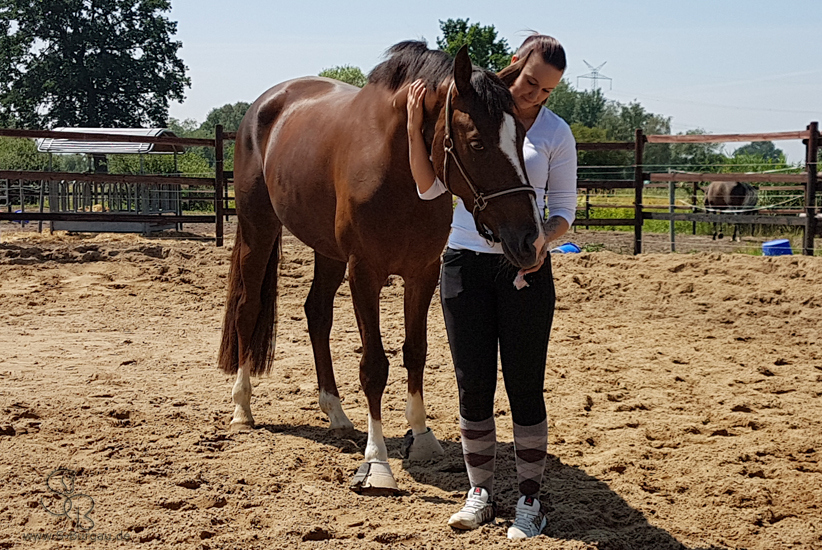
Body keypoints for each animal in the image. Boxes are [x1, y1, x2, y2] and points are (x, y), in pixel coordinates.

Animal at [217, 41, 546, 495]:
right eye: (477, 143)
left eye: (523, 137)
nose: (530, 240)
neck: (399, 170)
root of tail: (264, 105)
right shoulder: (365, 273)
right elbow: (374, 367)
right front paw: (377, 463)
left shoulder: (422, 273)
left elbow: (416, 351)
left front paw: (422, 437)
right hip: (258, 228)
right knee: (248, 308)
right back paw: (242, 408)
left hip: (328, 251)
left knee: (316, 313)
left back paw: (336, 414)